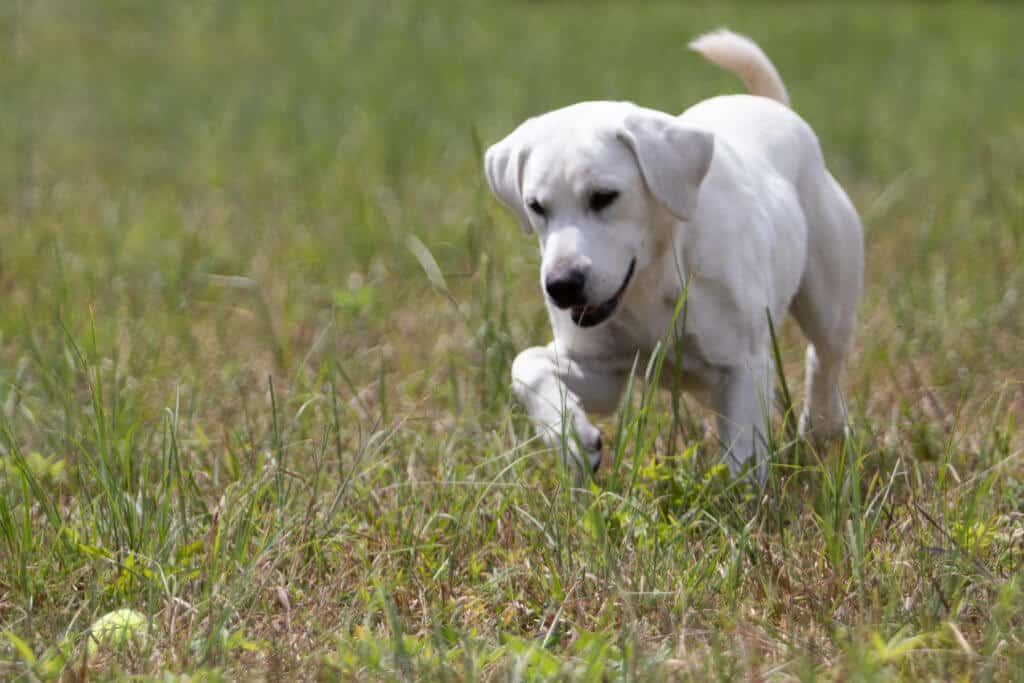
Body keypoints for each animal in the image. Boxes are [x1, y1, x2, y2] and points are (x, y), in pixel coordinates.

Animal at [483, 30, 860, 481]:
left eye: (604, 196)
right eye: (536, 206)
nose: (561, 286)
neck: (651, 284)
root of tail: (776, 108)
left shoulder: (744, 365)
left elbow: (744, 459)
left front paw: (745, 498)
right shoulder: (603, 370)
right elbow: (526, 365)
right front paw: (572, 439)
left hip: (829, 297)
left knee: (825, 357)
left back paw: (821, 427)